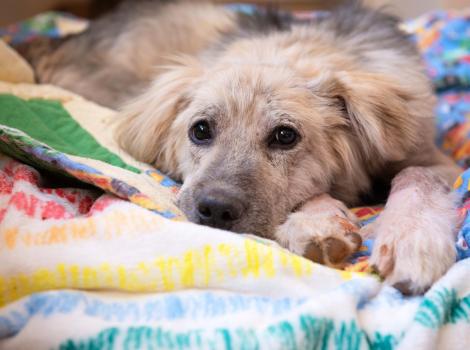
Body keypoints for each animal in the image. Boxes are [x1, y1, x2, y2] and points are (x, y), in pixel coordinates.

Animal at [19, 0, 462, 296]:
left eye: (285, 136)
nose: (214, 211)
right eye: (200, 130)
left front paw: (412, 241)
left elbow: (414, 175)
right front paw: (319, 222)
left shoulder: (438, 161)